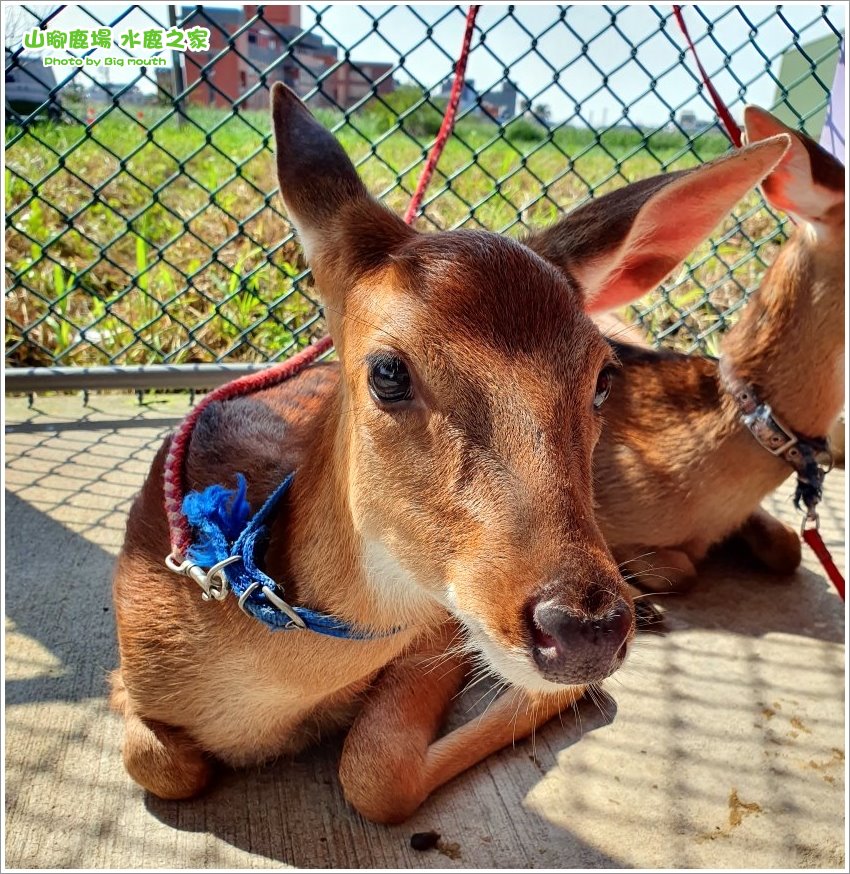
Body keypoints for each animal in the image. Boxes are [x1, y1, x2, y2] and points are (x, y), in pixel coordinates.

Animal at [111, 80, 788, 816]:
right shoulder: (125, 675)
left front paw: (568, 690)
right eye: (388, 371)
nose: (585, 631)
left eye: (603, 376)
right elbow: (157, 761)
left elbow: (375, 771)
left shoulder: (438, 623)